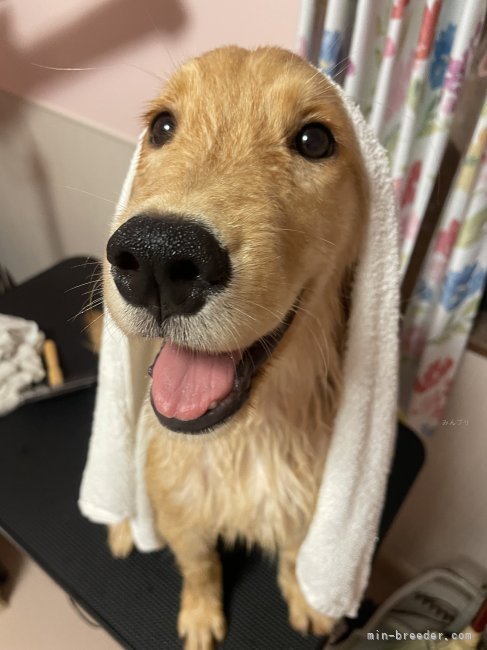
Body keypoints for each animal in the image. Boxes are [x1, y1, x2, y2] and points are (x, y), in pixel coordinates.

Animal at [104, 46, 368, 649]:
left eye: (314, 140)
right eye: (162, 126)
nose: (157, 257)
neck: (246, 438)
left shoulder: (305, 506)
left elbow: (293, 556)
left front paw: (306, 601)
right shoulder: (180, 511)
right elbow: (200, 564)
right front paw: (202, 615)